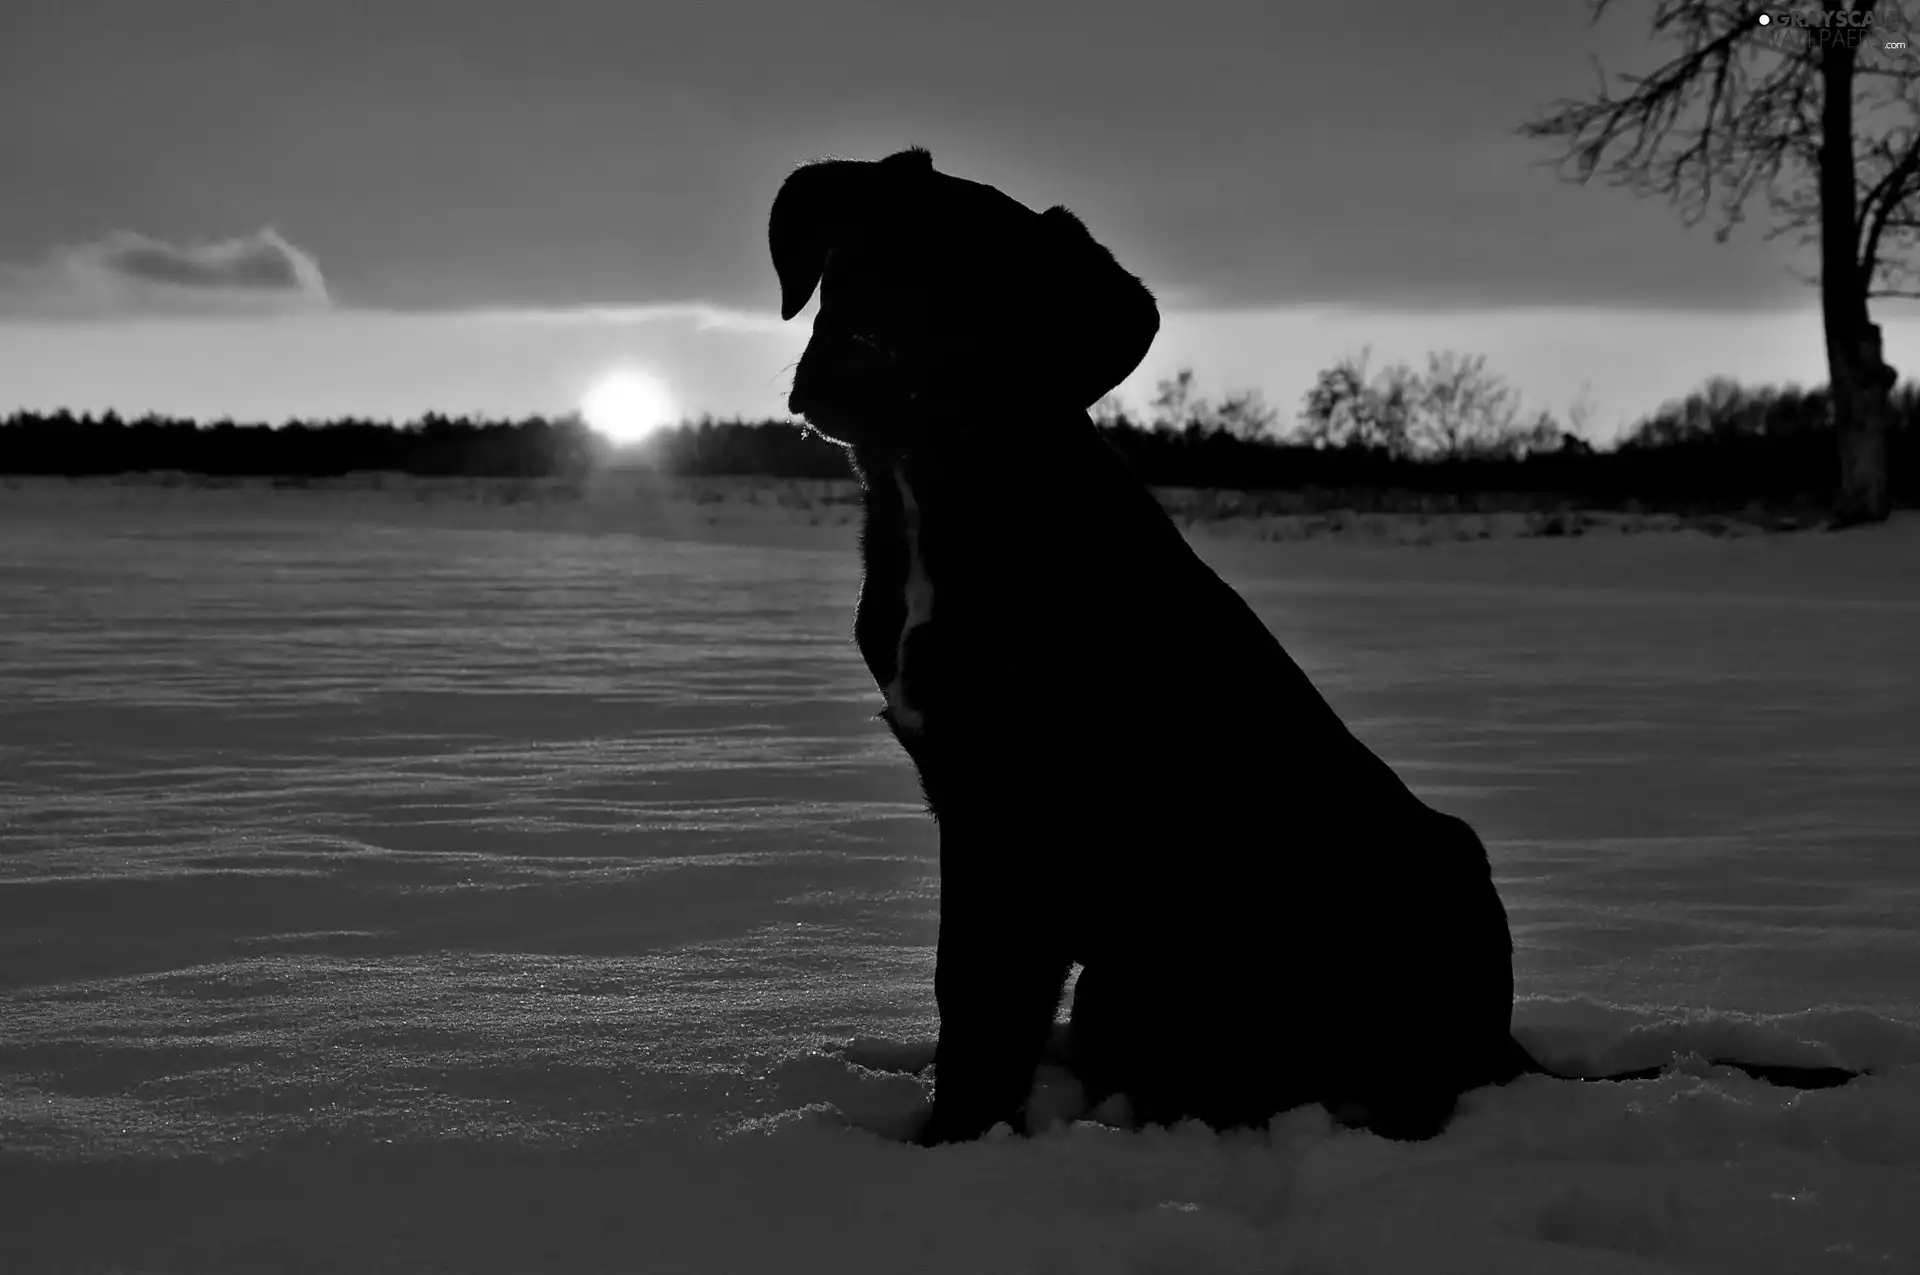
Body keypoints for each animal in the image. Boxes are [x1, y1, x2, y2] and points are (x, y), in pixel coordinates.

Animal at [764, 146, 1858, 1144]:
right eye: (857, 258)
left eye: (974, 300)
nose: (847, 365)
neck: (943, 497)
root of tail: (1501, 1048)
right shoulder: (971, 804)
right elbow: (967, 995)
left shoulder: (1018, 817)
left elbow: (984, 1008)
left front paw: (951, 1145)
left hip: (1422, 874)